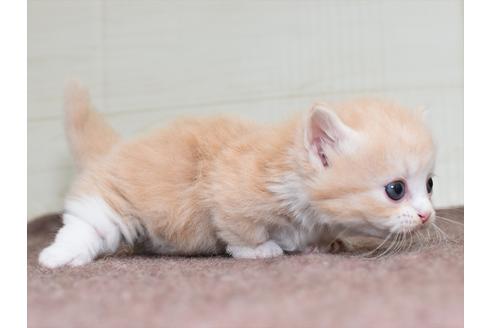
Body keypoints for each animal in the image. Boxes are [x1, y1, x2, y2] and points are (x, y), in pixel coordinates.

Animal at [38, 81, 434, 266]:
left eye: (430, 184)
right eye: (396, 189)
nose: (427, 215)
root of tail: (114, 147)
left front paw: (320, 244)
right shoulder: (228, 190)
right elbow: (240, 228)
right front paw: (260, 251)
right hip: (114, 202)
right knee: (88, 222)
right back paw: (60, 257)